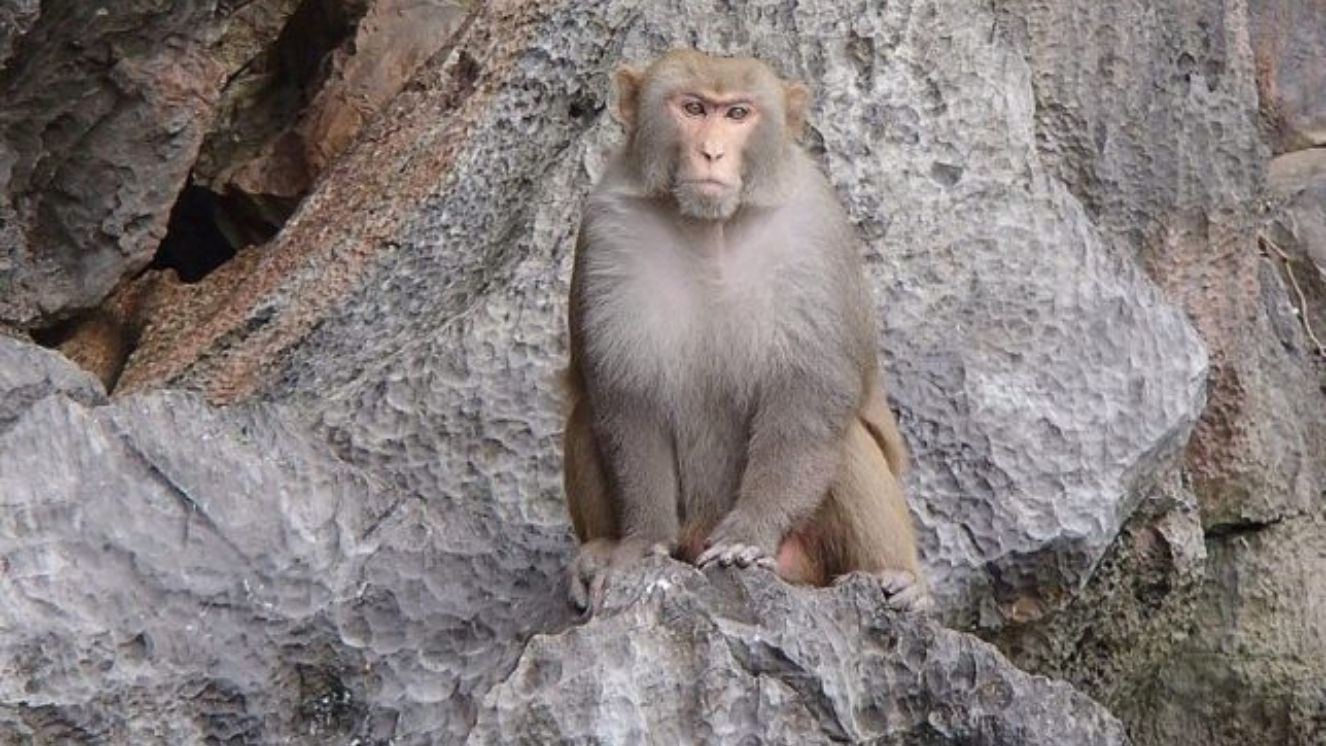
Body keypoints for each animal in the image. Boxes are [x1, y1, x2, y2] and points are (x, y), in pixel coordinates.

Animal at [562, 49, 930, 614]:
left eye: (737, 113)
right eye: (693, 108)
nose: (711, 152)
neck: (712, 227)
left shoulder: (814, 231)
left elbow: (810, 392)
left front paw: (749, 535)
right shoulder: (607, 230)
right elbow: (625, 397)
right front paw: (640, 543)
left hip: (808, 560)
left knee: (841, 438)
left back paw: (900, 582)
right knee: (585, 412)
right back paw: (597, 552)